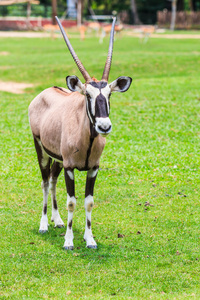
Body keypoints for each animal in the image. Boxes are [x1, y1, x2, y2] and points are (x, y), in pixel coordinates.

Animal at [27, 17, 131, 251]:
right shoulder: (70, 167)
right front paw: (68, 241)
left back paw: (56, 220)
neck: (88, 140)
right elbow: (72, 201)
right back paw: (44, 224)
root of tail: (44, 93)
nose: (104, 126)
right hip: (41, 150)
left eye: (109, 94)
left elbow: (88, 201)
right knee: (45, 182)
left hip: (57, 158)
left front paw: (89, 239)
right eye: (88, 95)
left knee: (53, 181)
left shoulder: (93, 168)